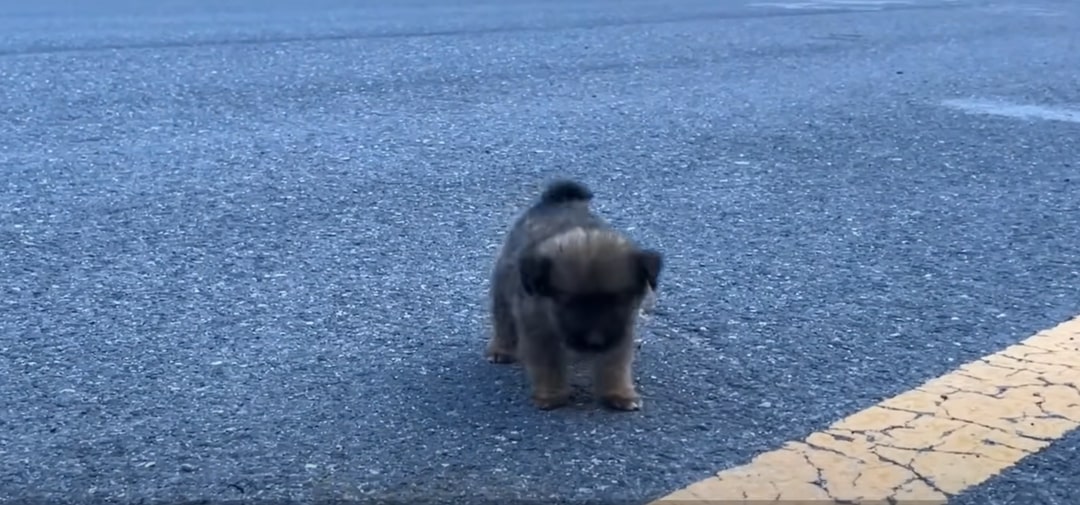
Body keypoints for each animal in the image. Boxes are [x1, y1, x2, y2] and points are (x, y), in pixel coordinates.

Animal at [488, 180, 656, 410]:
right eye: (568, 303)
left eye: (619, 301)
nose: (595, 342)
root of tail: (558, 200)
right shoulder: (538, 328)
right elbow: (548, 364)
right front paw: (551, 394)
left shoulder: (621, 328)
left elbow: (615, 364)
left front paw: (619, 393)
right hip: (504, 283)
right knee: (503, 319)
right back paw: (501, 349)